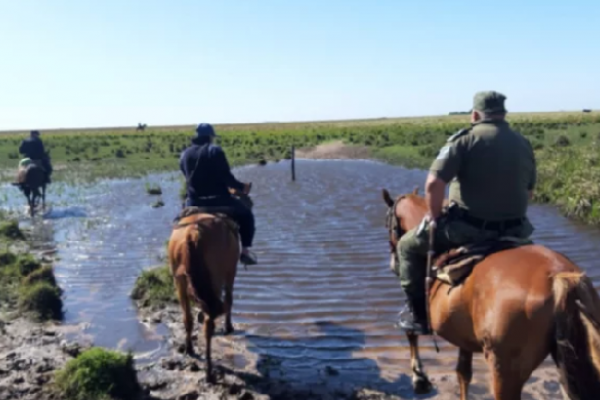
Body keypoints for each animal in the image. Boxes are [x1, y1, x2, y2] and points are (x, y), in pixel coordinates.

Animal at [168, 188, 254, 384]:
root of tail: (193, 232)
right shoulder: (230, 273)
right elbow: (229, 299)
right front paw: (228, 327)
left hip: (179, 282)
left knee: (188, 318)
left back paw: (189, 349)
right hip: (215, 278)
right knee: (209, 323)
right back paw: (209, 371)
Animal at [382, 188, 600, 400]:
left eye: (387, 223)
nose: (392, 263)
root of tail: (559, 277)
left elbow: (411, 331)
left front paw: (420, 379)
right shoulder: (463, 337)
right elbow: (463, 374)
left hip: (503, 370)